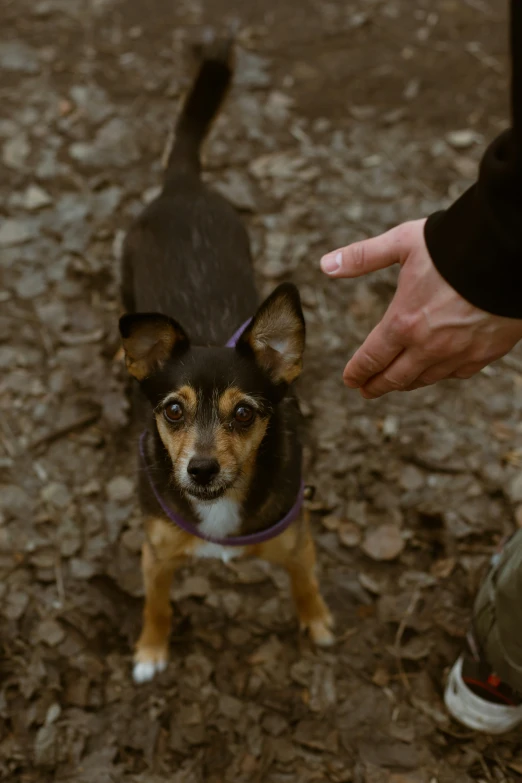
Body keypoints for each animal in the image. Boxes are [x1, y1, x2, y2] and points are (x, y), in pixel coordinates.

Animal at [118, 39, 332, 684]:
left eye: (244, 414)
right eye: (172, 411)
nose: (202, 470)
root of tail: (183, 184)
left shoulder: (297, 539)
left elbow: (306, 582)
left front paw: (317, 621)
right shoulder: (155, 553)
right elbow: (157, 605)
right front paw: (150, 650)